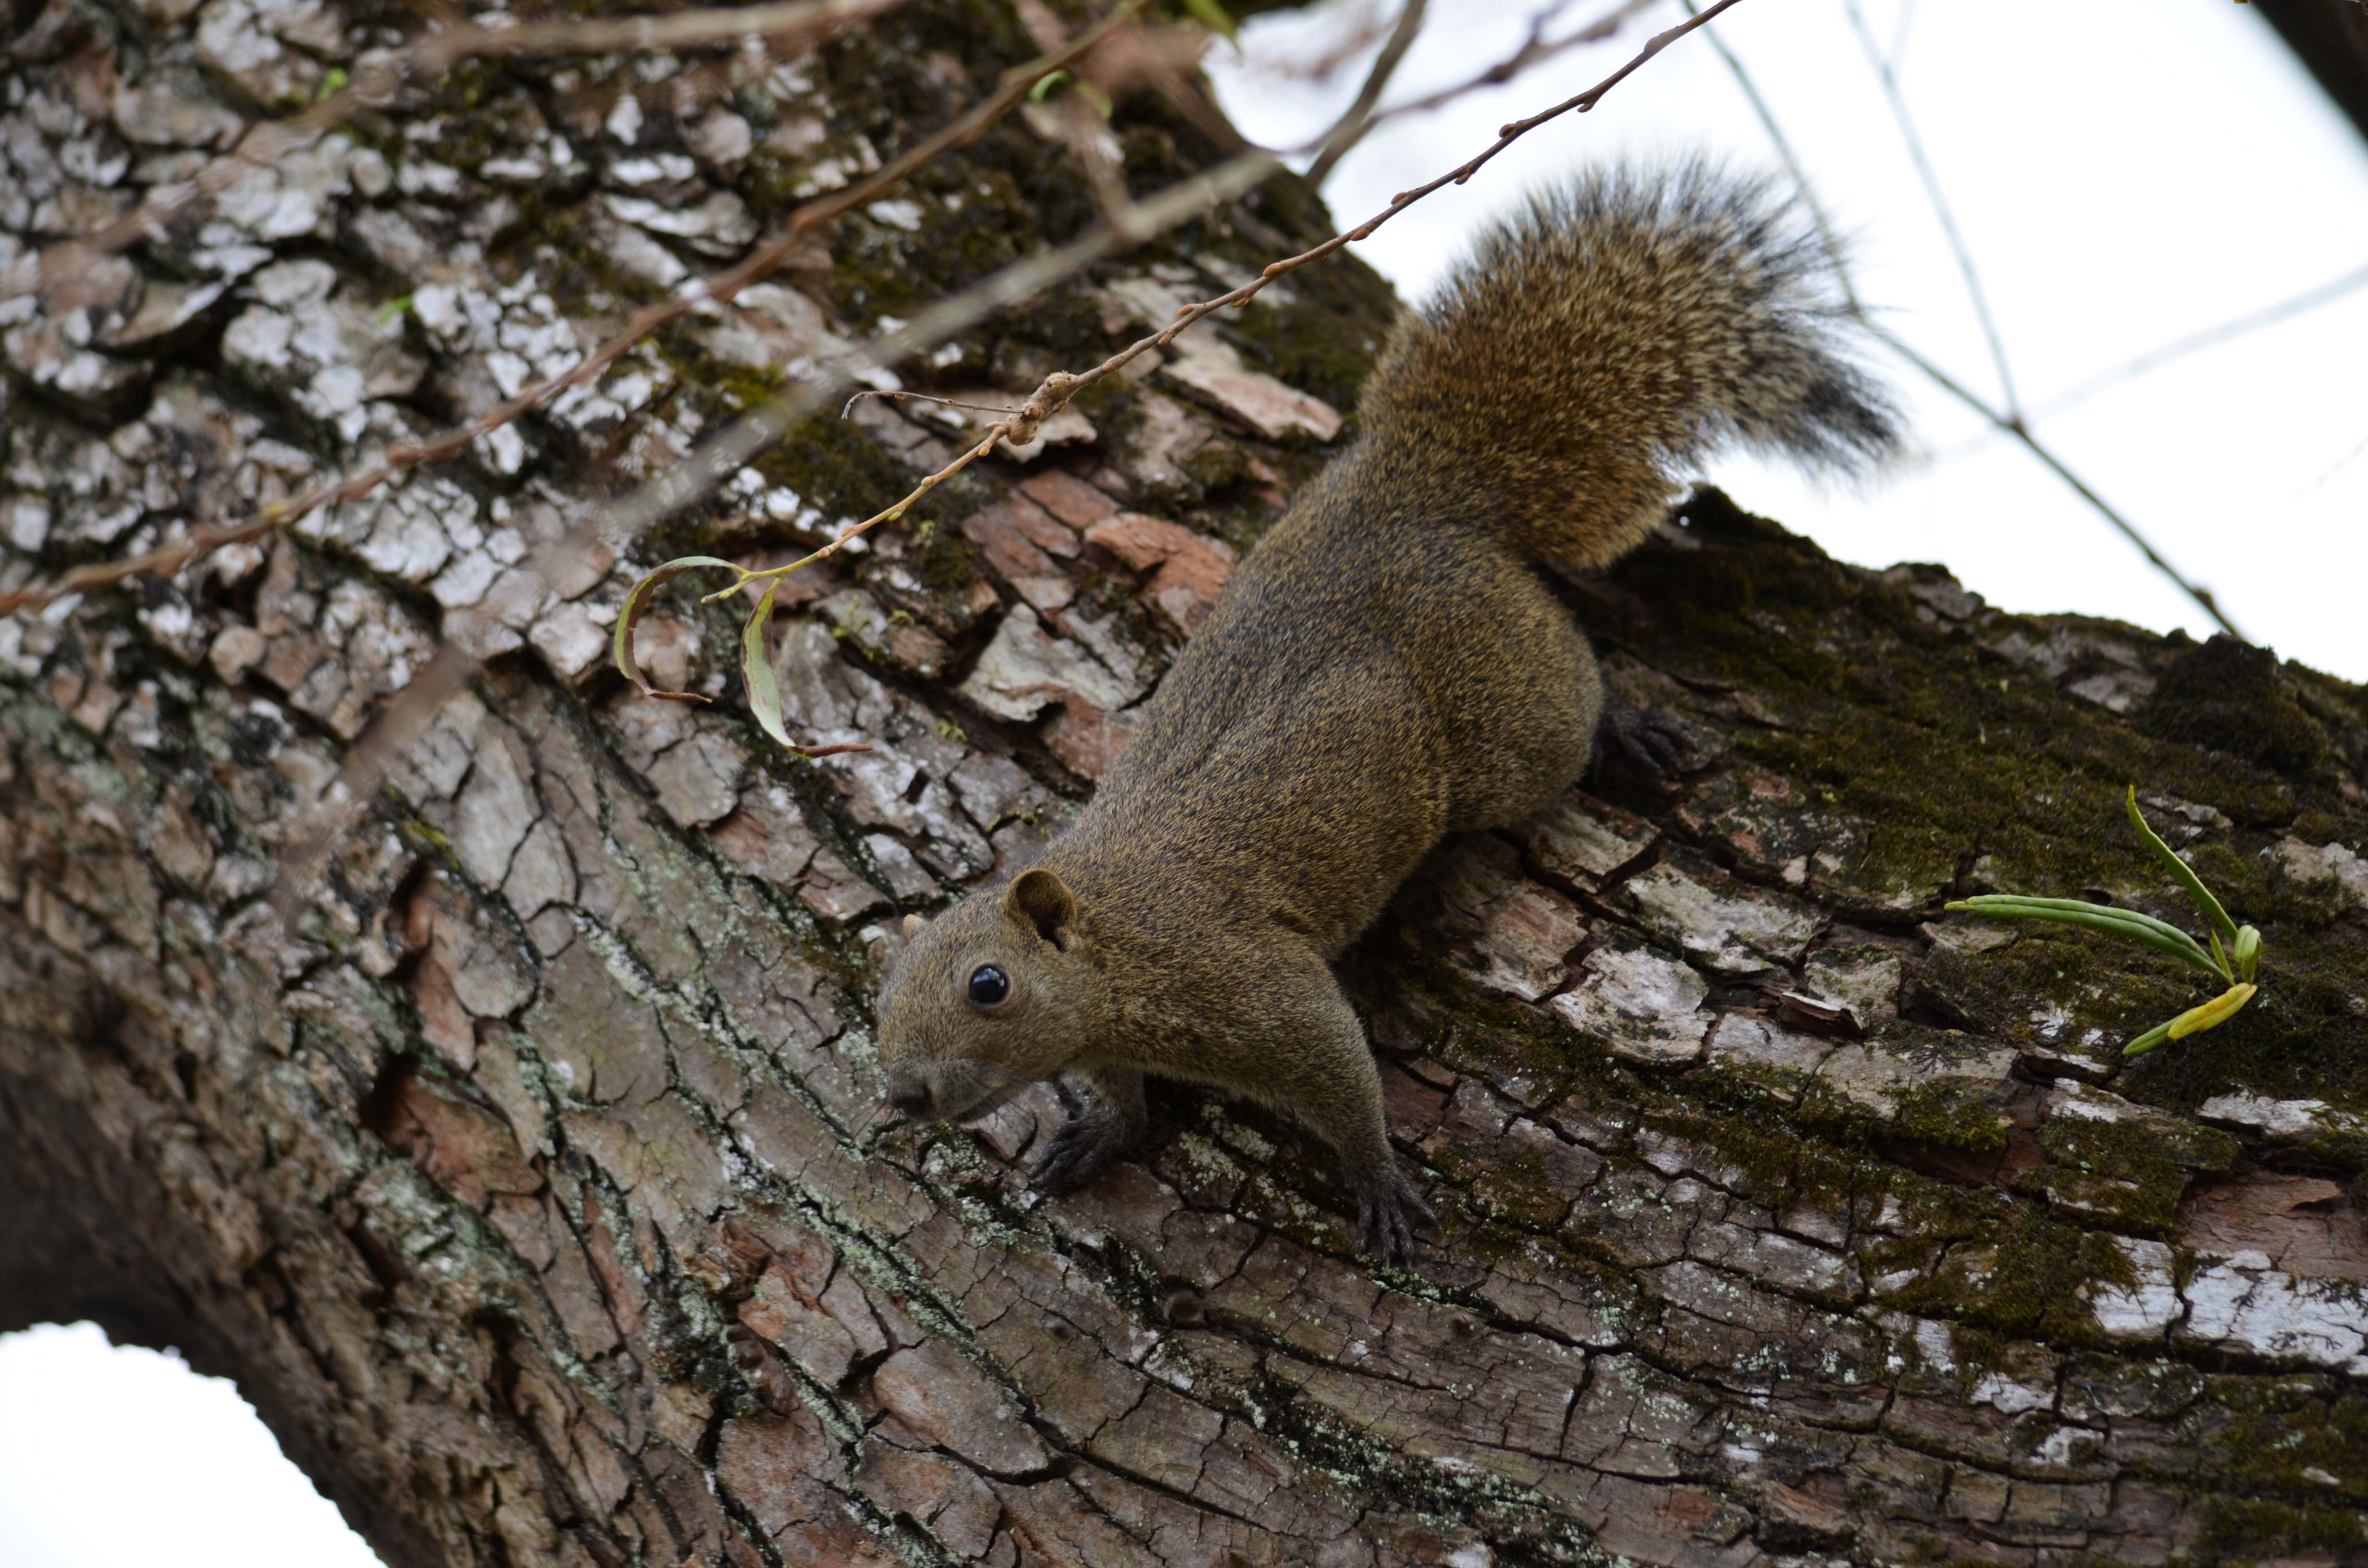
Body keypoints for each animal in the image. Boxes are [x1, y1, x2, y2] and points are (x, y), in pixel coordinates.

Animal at [881, 162, 1894, 1269]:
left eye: (988, 985)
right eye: (885, 990)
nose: (902, 1095)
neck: (1114, 947)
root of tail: (1413, 490)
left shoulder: (1250, 986)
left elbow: (1339, 1075)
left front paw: (1375, 1181)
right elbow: (1120, 1095)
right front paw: (1102, 1130)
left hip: (1506, 720)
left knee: (1567, 703)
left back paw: (1624, 729)